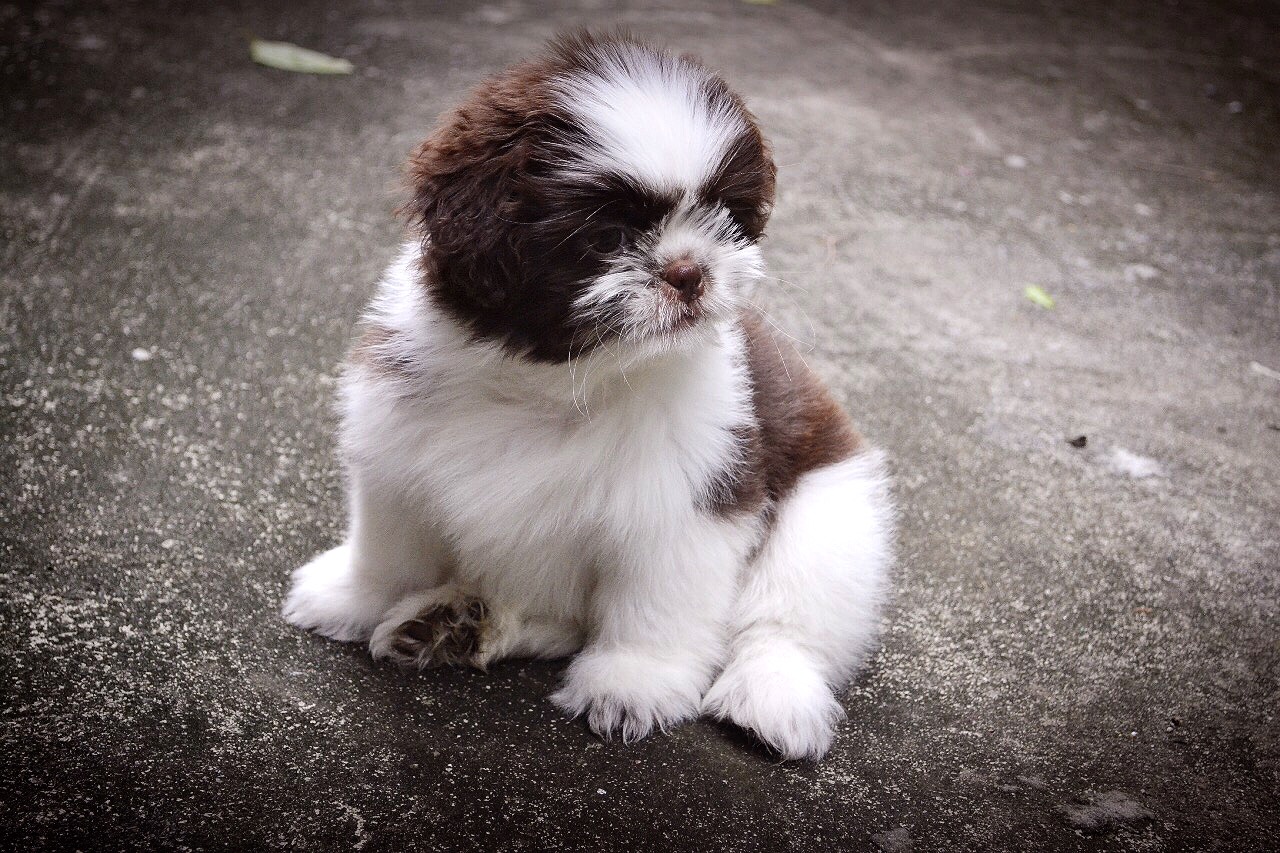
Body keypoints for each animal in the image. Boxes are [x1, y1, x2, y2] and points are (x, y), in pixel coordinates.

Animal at [283, 32, 893, 760]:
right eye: (608, 238)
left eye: (721, 217)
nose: (689, 270)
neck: (560, 383)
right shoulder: (396, 454)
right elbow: (388, 547)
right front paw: (352, 597)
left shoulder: (687, 501)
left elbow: (659, 600)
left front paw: (633, 683)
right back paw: (461, 621)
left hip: (834, 516)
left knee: (788, 616)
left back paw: (772, 691)